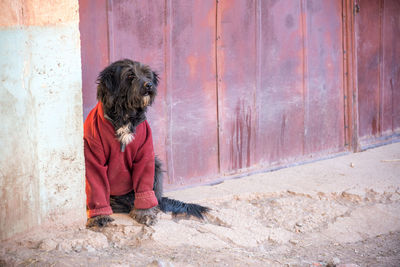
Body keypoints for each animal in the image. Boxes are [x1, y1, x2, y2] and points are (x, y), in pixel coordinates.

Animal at [84, 59, 209, 228]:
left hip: (156, 166)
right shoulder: (92, 156)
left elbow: (143, 184)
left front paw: (144, 213)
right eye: (130, 75)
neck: (125, 114)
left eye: (147, 75)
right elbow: (97, 186)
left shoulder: (145, 155)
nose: (149, 85)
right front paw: (98, 217)